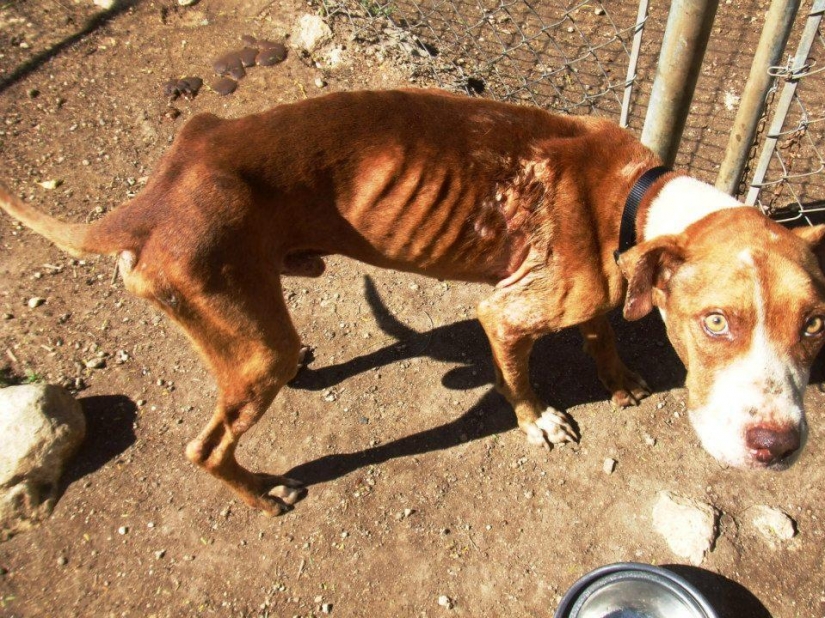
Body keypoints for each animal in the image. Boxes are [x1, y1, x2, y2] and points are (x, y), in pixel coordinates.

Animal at [1, 85, 824, 510]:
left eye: (815, 324)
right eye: (715, 322)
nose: (778, 447)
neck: (637, 199)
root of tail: (151, 199)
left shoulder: (603, 290)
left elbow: (603, 330)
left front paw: (618, 379)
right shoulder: (505, 315)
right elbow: (521, 377)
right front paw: (539, 421)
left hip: (257, 315)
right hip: (244, 335)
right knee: (206, 446)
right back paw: (264, 494)